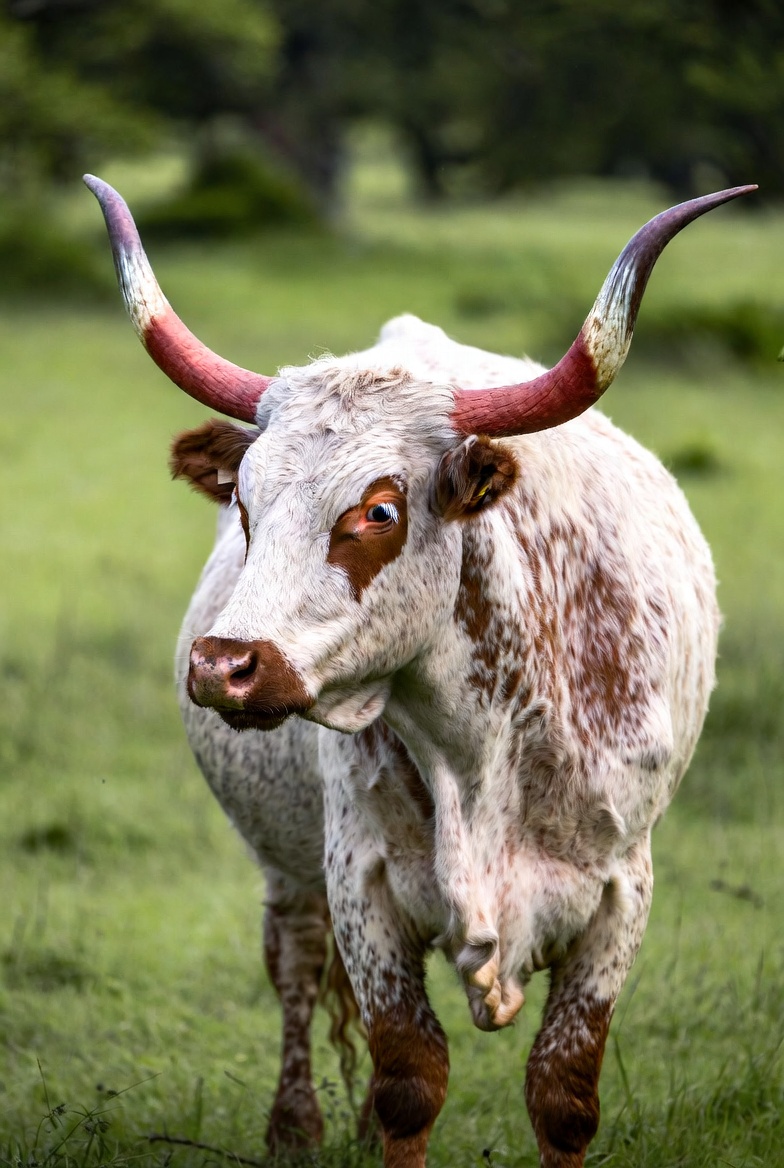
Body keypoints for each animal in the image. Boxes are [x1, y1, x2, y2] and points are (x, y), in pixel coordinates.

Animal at [85, 172, 755, 1168]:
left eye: (379, 510)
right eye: (243, 500)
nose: (224, 666)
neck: (486, 740)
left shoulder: (620, 892)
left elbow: (563, 1094)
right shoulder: (360, 882)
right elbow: (408, 1079)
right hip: (289, 867)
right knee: (295, 964)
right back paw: (298, 1126)